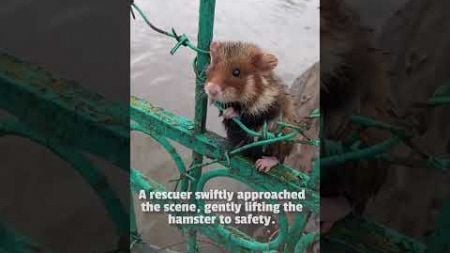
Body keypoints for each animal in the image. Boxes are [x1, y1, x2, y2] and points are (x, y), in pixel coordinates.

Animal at [205, 41, 298, 172]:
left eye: (236, 72)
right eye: (213, 66)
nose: (211, 90)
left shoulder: (269, 106)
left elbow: (251, 115)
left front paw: (230, 112)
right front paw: (224, 111)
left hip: (282, 139)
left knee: (278, 158)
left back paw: (262, 164)